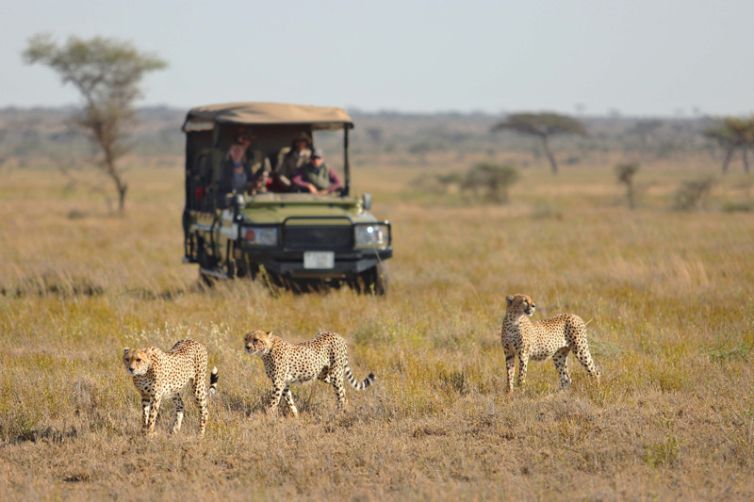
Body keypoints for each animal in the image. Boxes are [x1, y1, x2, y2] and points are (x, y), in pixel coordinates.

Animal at [243, 329, 375, 416]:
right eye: (246, 339)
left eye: (256, 340)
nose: (247, 347)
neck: (267, 351)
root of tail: (336, 334)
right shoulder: (284, 383)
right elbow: (289, 400)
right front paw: (296, 416)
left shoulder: (278, 383)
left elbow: (273, 402)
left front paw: (267, 417)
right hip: (324, 375)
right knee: (343, 389)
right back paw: (344, 408)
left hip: (335, 373)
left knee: (340, 392)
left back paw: (339, 413)